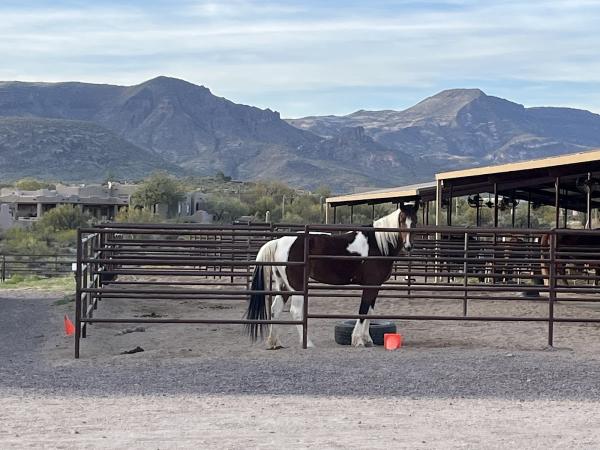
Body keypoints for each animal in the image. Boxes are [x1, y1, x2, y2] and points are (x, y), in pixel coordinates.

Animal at [244, 203, 418, 348]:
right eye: (402, 220)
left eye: (415, 221)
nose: (409, 246)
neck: (377, 243)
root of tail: (278, 242)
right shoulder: (370, 285)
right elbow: (363, 310)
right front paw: (358, 340)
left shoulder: (375, 286)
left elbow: (370, 312)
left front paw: (368, 339)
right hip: (297, 287)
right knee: (295, 311)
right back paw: (308, 343)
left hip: (284, 286)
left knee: (275, 309)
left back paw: (275, 342)